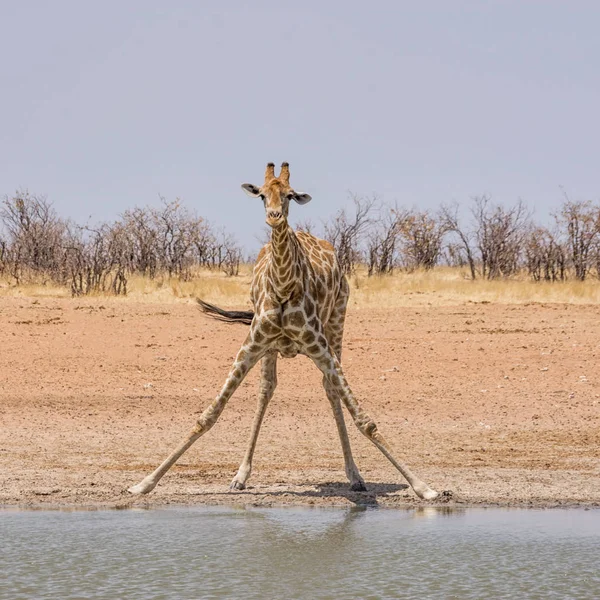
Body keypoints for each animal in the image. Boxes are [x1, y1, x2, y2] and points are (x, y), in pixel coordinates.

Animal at [129, 162, 438, 500]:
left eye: (290, 195)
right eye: (262, 195)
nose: (275, 216)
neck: (283, 288)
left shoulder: (321, 348)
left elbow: (364, 419)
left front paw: (423, 487)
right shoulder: (251, 344)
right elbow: (208, 415)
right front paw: (144, 483)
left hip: (337, 320)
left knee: (330, 390)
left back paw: (355, 476)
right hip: (270, 349)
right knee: (267, 389)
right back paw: (240, 476)